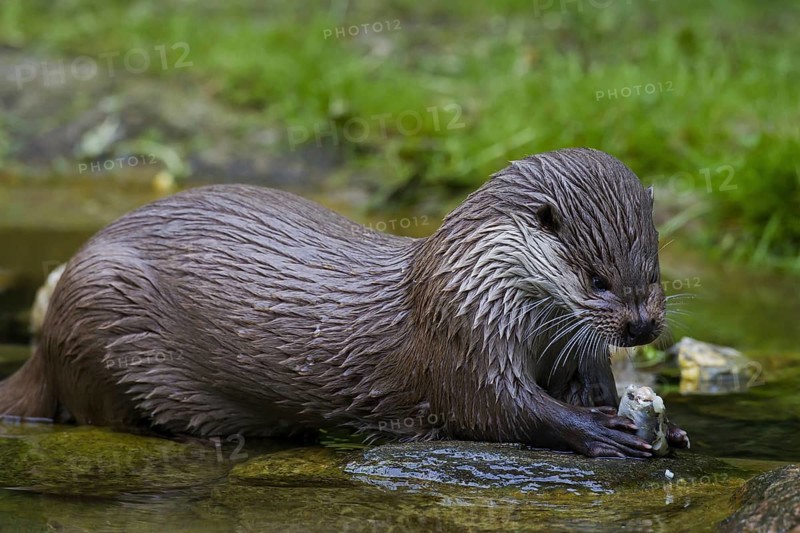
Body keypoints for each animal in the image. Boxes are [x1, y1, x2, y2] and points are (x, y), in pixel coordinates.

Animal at [0, 148, 688, 457]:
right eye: (597, 280)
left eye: (653, 272)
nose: (641, 325)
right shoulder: (460, 336)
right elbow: (498, 409)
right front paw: (601, 432)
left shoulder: (569, 350)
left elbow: (587, 384)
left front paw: (671, 428)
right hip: (100, 308)